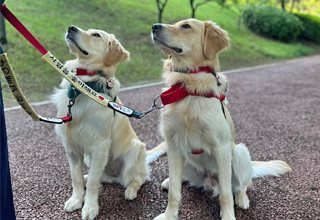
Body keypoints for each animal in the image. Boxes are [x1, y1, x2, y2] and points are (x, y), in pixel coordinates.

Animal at [52, 26, 165, 220]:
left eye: (96, 35)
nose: (71, 28)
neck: (85, 87)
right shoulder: (72, 148)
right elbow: (76, 179)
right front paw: (76, 200)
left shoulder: (100, 145)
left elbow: (92, 184)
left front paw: (90, 208)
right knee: (99, 178)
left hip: (135, 150)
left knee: (138, 178)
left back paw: (130, 191)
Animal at [151, 18, 292, 220]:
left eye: (186, 26)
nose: (154, 26)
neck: (188, 87)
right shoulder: (173, 145)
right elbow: (175, 193)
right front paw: (169, 215)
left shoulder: (222, 148)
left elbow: (225, 194)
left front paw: (228, 216)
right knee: (182, 179)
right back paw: (171, 181)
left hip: (239, 152)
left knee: (241, 186)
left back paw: (242, 199)